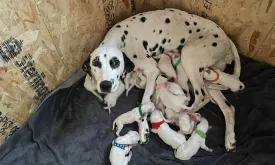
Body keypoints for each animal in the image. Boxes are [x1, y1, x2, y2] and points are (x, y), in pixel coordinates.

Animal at [82, 8, 242, 151]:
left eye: (115, 62)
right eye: (95, 63)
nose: (105, 85)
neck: (119, 41)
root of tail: (225, 37)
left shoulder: (153, 70)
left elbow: (145, 101)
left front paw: (144, 129)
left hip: (189, 56)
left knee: (201, 97)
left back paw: (180, 117)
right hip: (207, 75)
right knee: (228, 107)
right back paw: (230, 138)